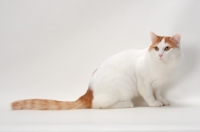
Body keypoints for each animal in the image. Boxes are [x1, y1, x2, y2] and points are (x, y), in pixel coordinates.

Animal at [11, 32, 182, 110]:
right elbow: (148, 95)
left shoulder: (159, 84)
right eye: (156, 48)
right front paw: (154, 103)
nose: (160, 55)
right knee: (98, 105)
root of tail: (89, 90)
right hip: (124, 83)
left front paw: (163, 100)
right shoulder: (143, 82)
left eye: (167, 48)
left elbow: (158, 93)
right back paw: (126, 103)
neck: (162, 67)